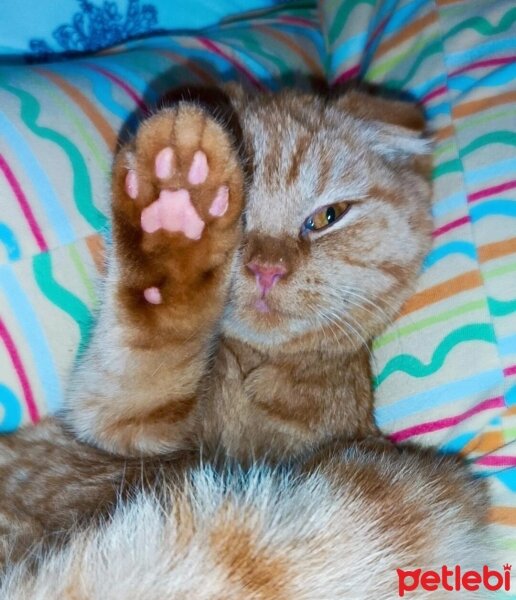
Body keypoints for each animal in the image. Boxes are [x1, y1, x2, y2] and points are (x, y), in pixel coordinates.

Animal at [0, 84, 492, 596]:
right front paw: (176, 209)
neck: (260, 369)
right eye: (241, 214)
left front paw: (179, 205)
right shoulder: (116, 424)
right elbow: (152, 346)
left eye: (327, 216)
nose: (266, 269)